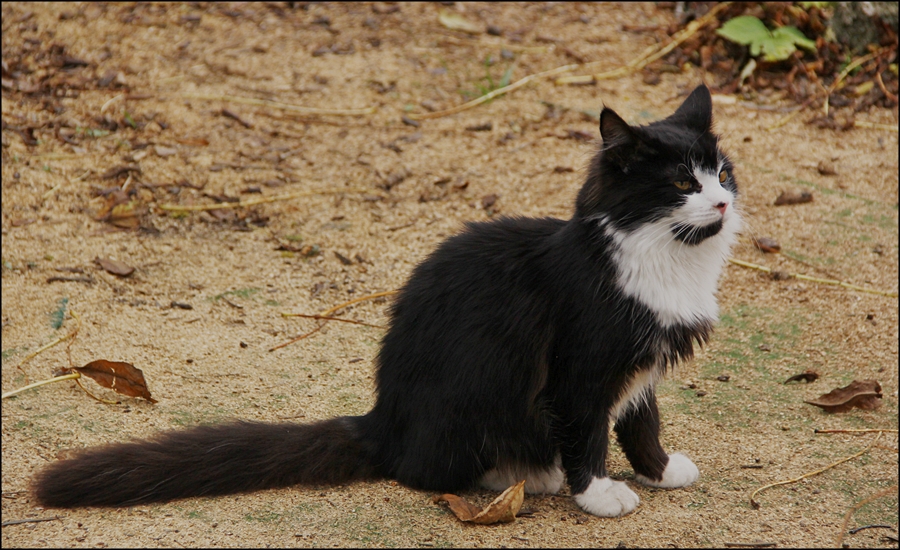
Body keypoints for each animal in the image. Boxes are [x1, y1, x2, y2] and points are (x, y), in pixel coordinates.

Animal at [33, 84, 740, 520]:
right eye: (683, 183)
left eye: (724, 173)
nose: (724, 202)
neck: (660, 258)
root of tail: (383, 420)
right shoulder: (582, 370)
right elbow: (590, 432)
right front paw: (598, 494)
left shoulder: (642, 366)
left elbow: (641, 420)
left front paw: (658, 470)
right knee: (425, 471)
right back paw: (527, 475)